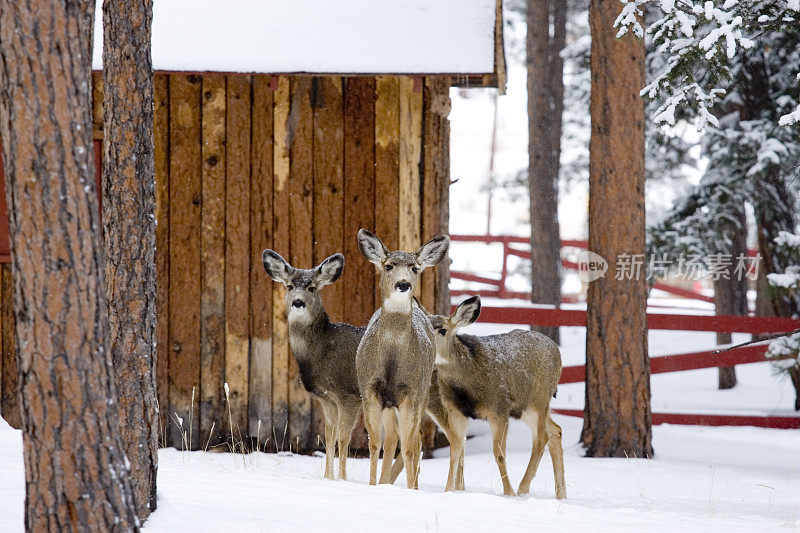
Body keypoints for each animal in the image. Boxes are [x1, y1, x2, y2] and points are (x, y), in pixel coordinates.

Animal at [262, 248, 362, 478]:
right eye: (289, 285)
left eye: (312, 287)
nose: (298, 302)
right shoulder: (327, 398)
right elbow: (329, 437)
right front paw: (327, 478)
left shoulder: (349, 394)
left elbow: (344, 438)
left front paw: (342, 479)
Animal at [356, 227, 450, 488]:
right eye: (388, 266)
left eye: (415, 268)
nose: (403, 284)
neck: (392, 361)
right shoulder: (370, 390)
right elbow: (374, 444)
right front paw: (372, 485)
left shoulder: (411, 393)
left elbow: (408, 447)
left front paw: (411, 490)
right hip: (390, 404)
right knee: (390, 441)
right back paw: (384, 482)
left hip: (423, 393)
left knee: (414, 442)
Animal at [428, 294, 564, 496]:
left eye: (443, 330)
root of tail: (557, 351)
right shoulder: (455, 411)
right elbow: (455, 451)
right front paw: (448, 491)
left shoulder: (499, 408)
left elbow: (498, 453)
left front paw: (508, 493)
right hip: (526, 407)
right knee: (556, 431)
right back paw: (561, 494)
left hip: (537, 400)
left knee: (541, 438)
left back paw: (522, 489)